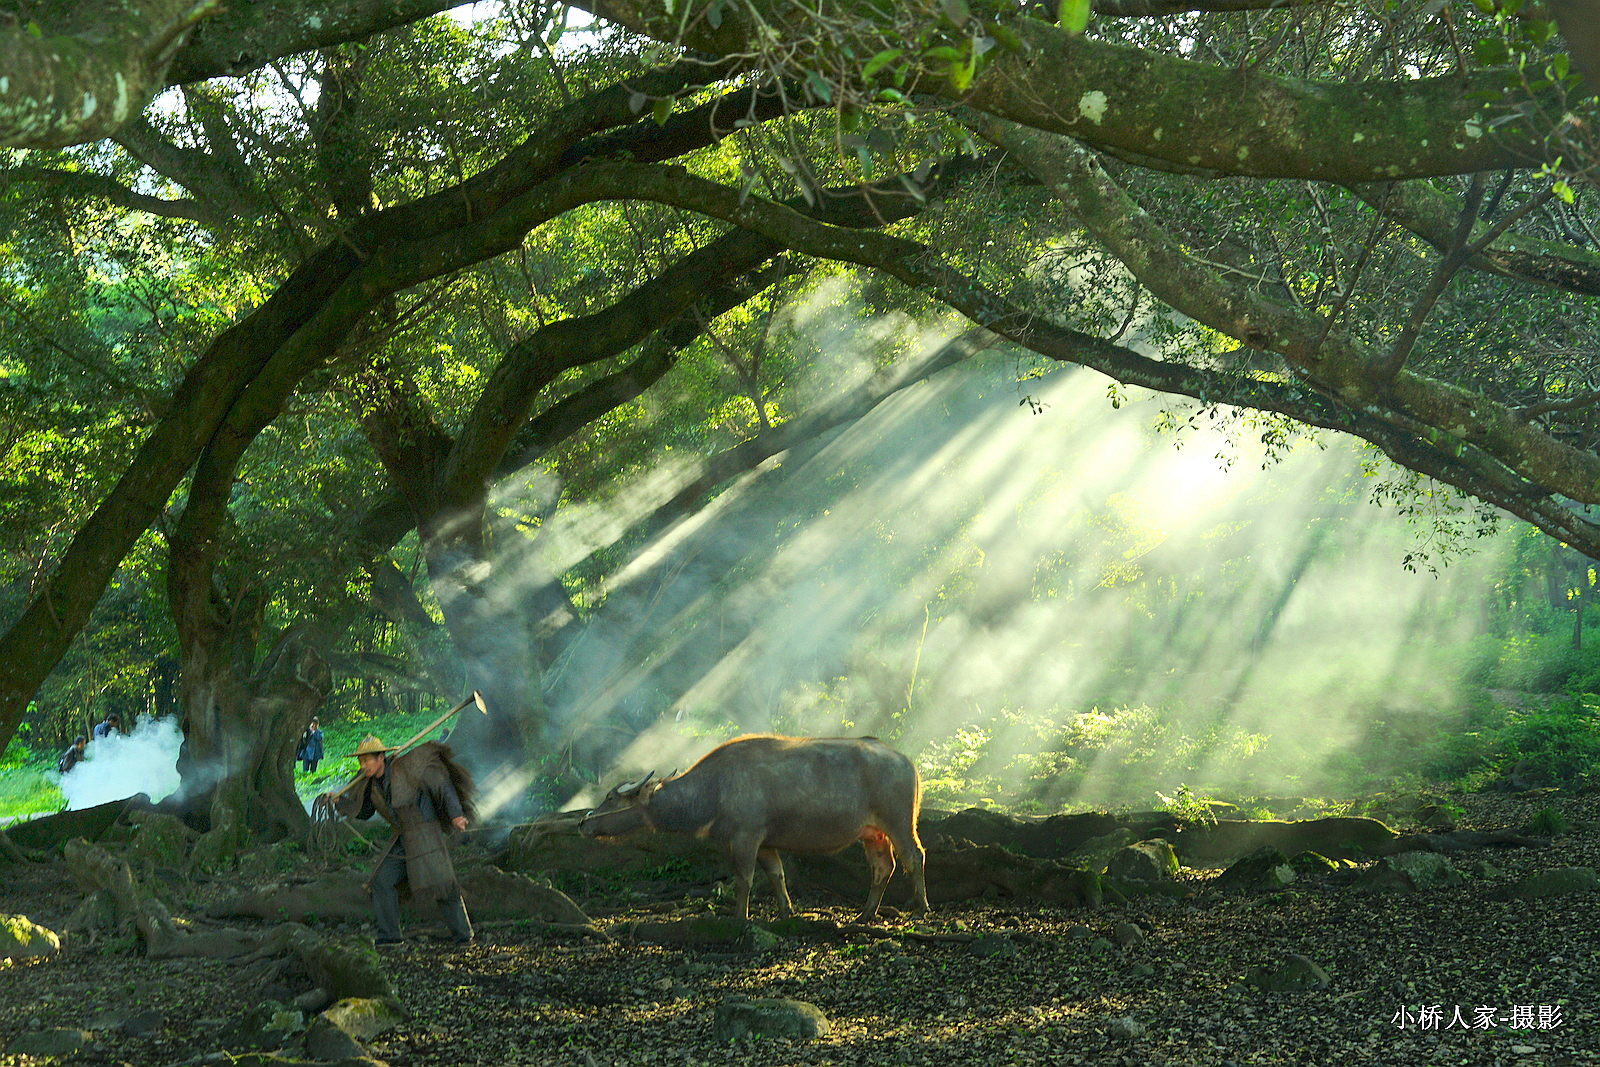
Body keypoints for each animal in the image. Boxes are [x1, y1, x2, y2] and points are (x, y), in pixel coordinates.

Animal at [579, 739, 934, 921]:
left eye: (610, 797)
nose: (583, 822)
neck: (714, 789)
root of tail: (906, 761)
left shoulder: (746, 838)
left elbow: (743, 881)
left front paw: (740, 918)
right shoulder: (766, 844)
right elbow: (777, 876)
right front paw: (786, 912)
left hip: (899, 822)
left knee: (914, 857)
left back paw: (921, 907)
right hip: (872, 832)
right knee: (883, 867)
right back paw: (865, 913)